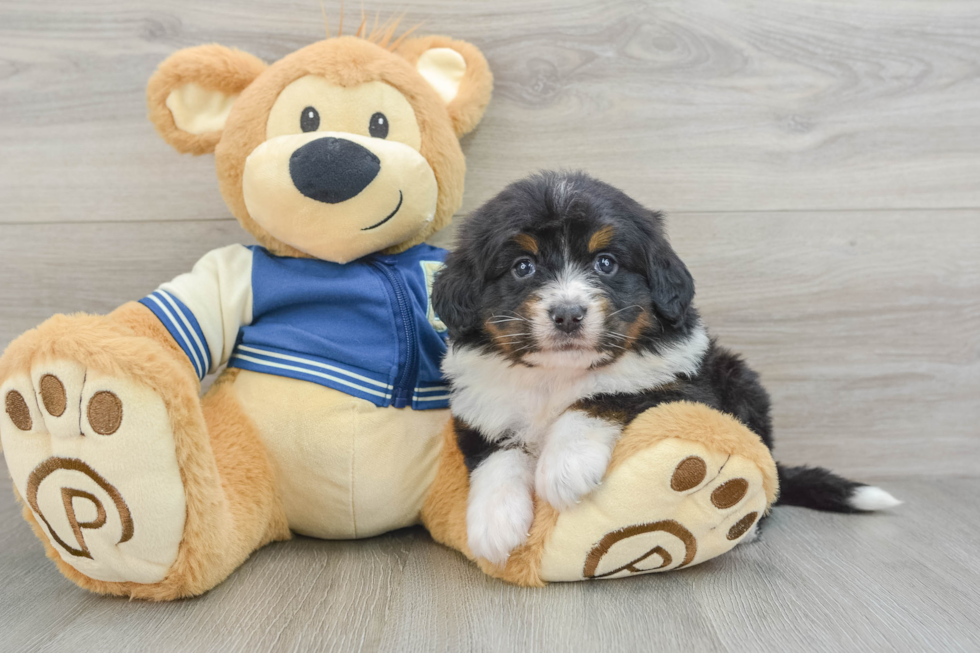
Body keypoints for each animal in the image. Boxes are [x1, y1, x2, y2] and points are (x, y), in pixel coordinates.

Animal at [432, 171, 900, 564]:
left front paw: (564, 467)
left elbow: (605, 392)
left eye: (606, 262)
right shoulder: (480, 403)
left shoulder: (680, 383)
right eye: (522, 267)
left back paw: (745, 526)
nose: (567, 314)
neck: (557, 374)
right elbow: (495, 455)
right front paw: (494, 523)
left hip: (739, 383)